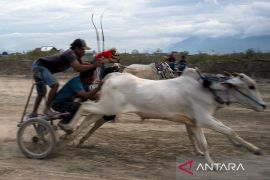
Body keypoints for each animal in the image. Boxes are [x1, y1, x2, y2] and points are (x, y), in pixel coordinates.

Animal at [67, 67, 266, 165]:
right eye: (250, 86)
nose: (264, 105)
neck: (207, 88)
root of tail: (112, 75)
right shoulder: (204, 119)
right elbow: (226, 132)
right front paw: (214, 163)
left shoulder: (194, 122)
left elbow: (200, 140)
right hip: (106, 106)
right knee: (84, 106)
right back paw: (68, 129)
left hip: (106, 108)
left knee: (88, 119)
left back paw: (73, 139)